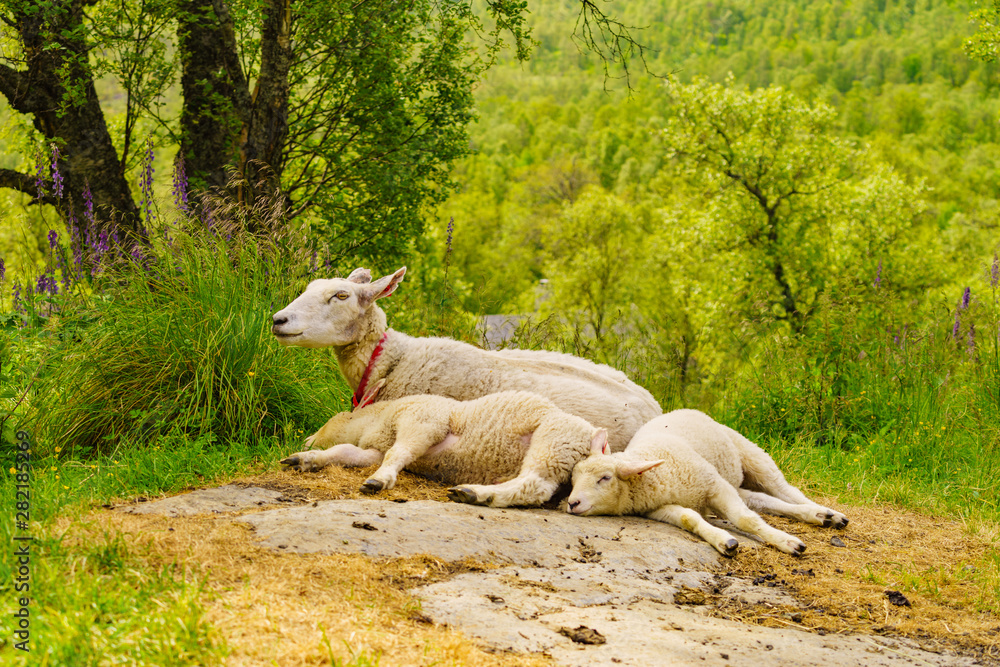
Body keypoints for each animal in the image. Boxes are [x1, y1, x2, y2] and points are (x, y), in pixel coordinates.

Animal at [280, 389, 608, 507]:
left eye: (329, 420)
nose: (304, 439)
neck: (377, 418)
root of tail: (597, 443)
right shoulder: (374, 448)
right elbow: (344, 453)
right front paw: (305, 458)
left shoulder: (424, 421)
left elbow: (397, 454)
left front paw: (379, 481)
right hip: (560, 460)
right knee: (537, 491)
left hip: (554, 441)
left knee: (533, 483)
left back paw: (475, 494)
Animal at [566, 410, 848, 556]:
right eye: (573, 478)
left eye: (605, 478)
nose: (572, 503)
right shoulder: (660, 508)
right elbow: (689, 518)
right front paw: (725, 542)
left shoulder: (713, 485)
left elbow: (746, 520)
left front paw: (787, 543)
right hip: (734, 483)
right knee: (765, 501)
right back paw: (821, 516)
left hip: (752, 455)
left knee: (786, 490)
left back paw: (829, 514)